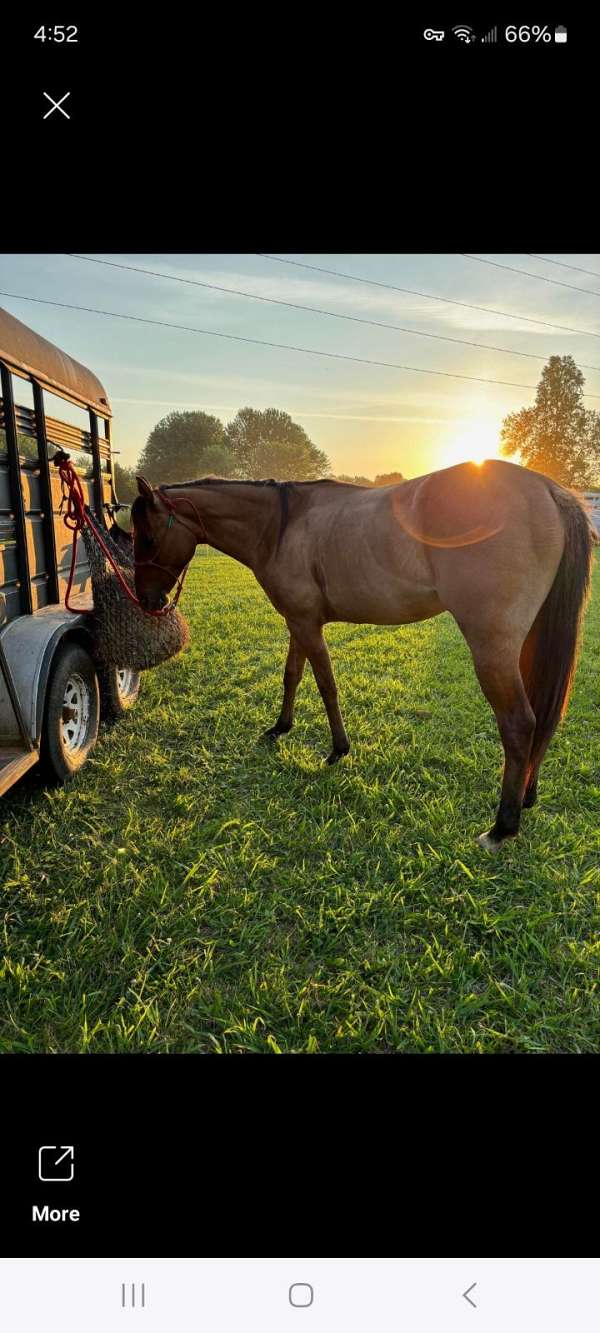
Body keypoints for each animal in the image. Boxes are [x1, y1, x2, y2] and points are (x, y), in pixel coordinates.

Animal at [128, 461, 592, 853]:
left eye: (146, 537)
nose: (148, 601)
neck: (280, 527)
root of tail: (548, 489)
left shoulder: (307, 624)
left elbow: (326, 684)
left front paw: (338, 749)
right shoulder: (299, 621)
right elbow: (292, 675)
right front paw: (280, 727)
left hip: (492, 647)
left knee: (519, 723)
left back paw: (502, 826)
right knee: (543, 719)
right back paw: (527, 796)